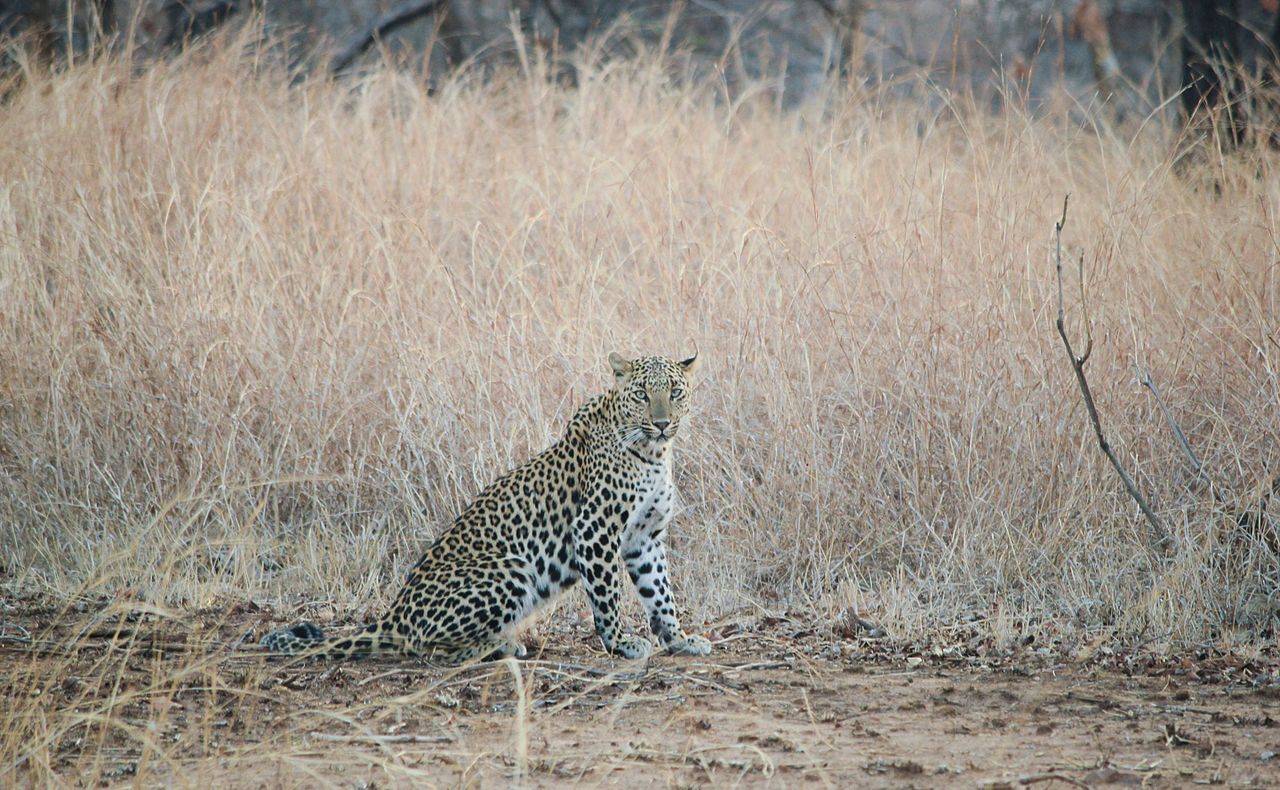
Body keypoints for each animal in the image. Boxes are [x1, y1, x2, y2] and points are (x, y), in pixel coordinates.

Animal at [261, 350, 716, 660]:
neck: (654, 454)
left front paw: (679, 639)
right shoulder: (594, 530)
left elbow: (660, 592)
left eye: (675, 392)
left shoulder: (645, 537)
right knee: (425, 645)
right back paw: (499, 647)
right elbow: (608, 596)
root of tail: (395, 615)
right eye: (641, 394)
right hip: (509, 569)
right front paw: (622, 642)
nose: (661, 423)